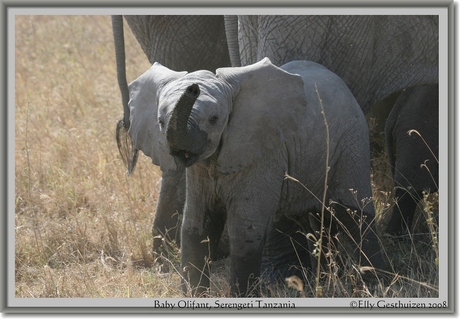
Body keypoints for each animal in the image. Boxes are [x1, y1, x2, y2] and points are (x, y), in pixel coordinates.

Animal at [128, 57, 384, 298]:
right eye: (160, 122)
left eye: (214, 119)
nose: (192, 88)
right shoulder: (201, 169)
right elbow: (196, 225)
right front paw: (194, 296)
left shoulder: (261, 153)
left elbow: (244, 228)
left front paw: (243, 297)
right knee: (319, 220)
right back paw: (324, 283)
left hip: (352, 142)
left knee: (353, 213)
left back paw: (376, 285)